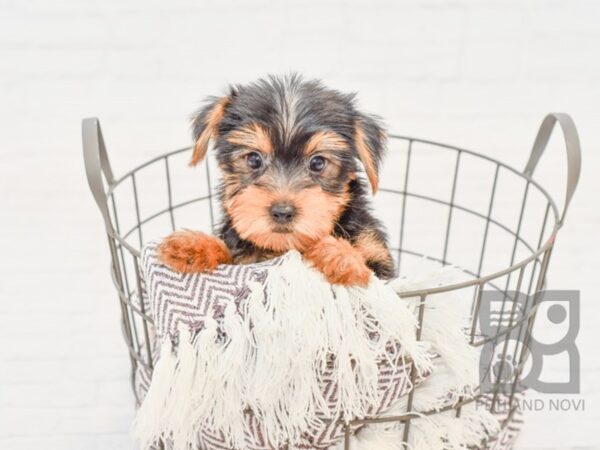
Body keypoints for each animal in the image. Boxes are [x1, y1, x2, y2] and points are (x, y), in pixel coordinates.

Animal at [158, 73, 394, 284]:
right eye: (253, 159)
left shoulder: (376, 254)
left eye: (318, 163)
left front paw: (340, 255)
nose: (282, 212)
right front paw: (194, 245)